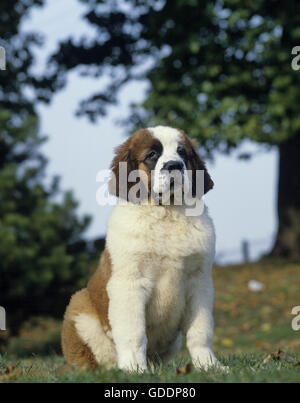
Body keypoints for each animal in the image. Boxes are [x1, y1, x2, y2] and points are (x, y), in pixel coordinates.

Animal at [61, 125, 225, 372]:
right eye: (152, 155)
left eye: (182, 153)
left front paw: (209, 365)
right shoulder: (129, 283)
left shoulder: (199, 281)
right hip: (78, 303)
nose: (174, 165)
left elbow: (200, 330)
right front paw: (133, 369)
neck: (167, 212)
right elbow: (133, 333)